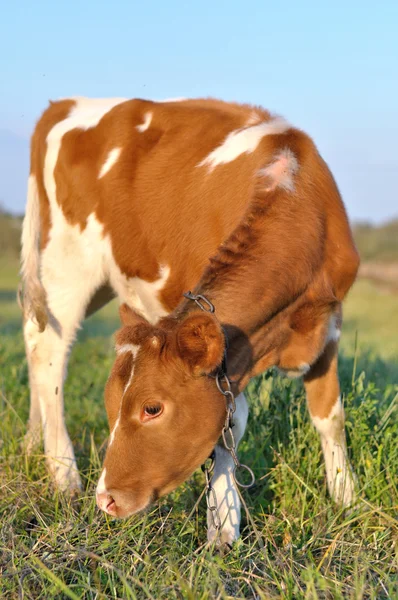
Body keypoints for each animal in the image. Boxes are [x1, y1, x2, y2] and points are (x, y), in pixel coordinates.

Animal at [21, 96, 360, 548]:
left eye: (152, 408)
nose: (106, 499)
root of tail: (64, 104)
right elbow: (230, 427)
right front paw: (223, 525)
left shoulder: (327, 324)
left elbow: (329, 415)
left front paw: (345, 497)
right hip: (67, 264)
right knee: (48, 352)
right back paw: (62, 472)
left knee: (34, 337)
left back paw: (31, 442)